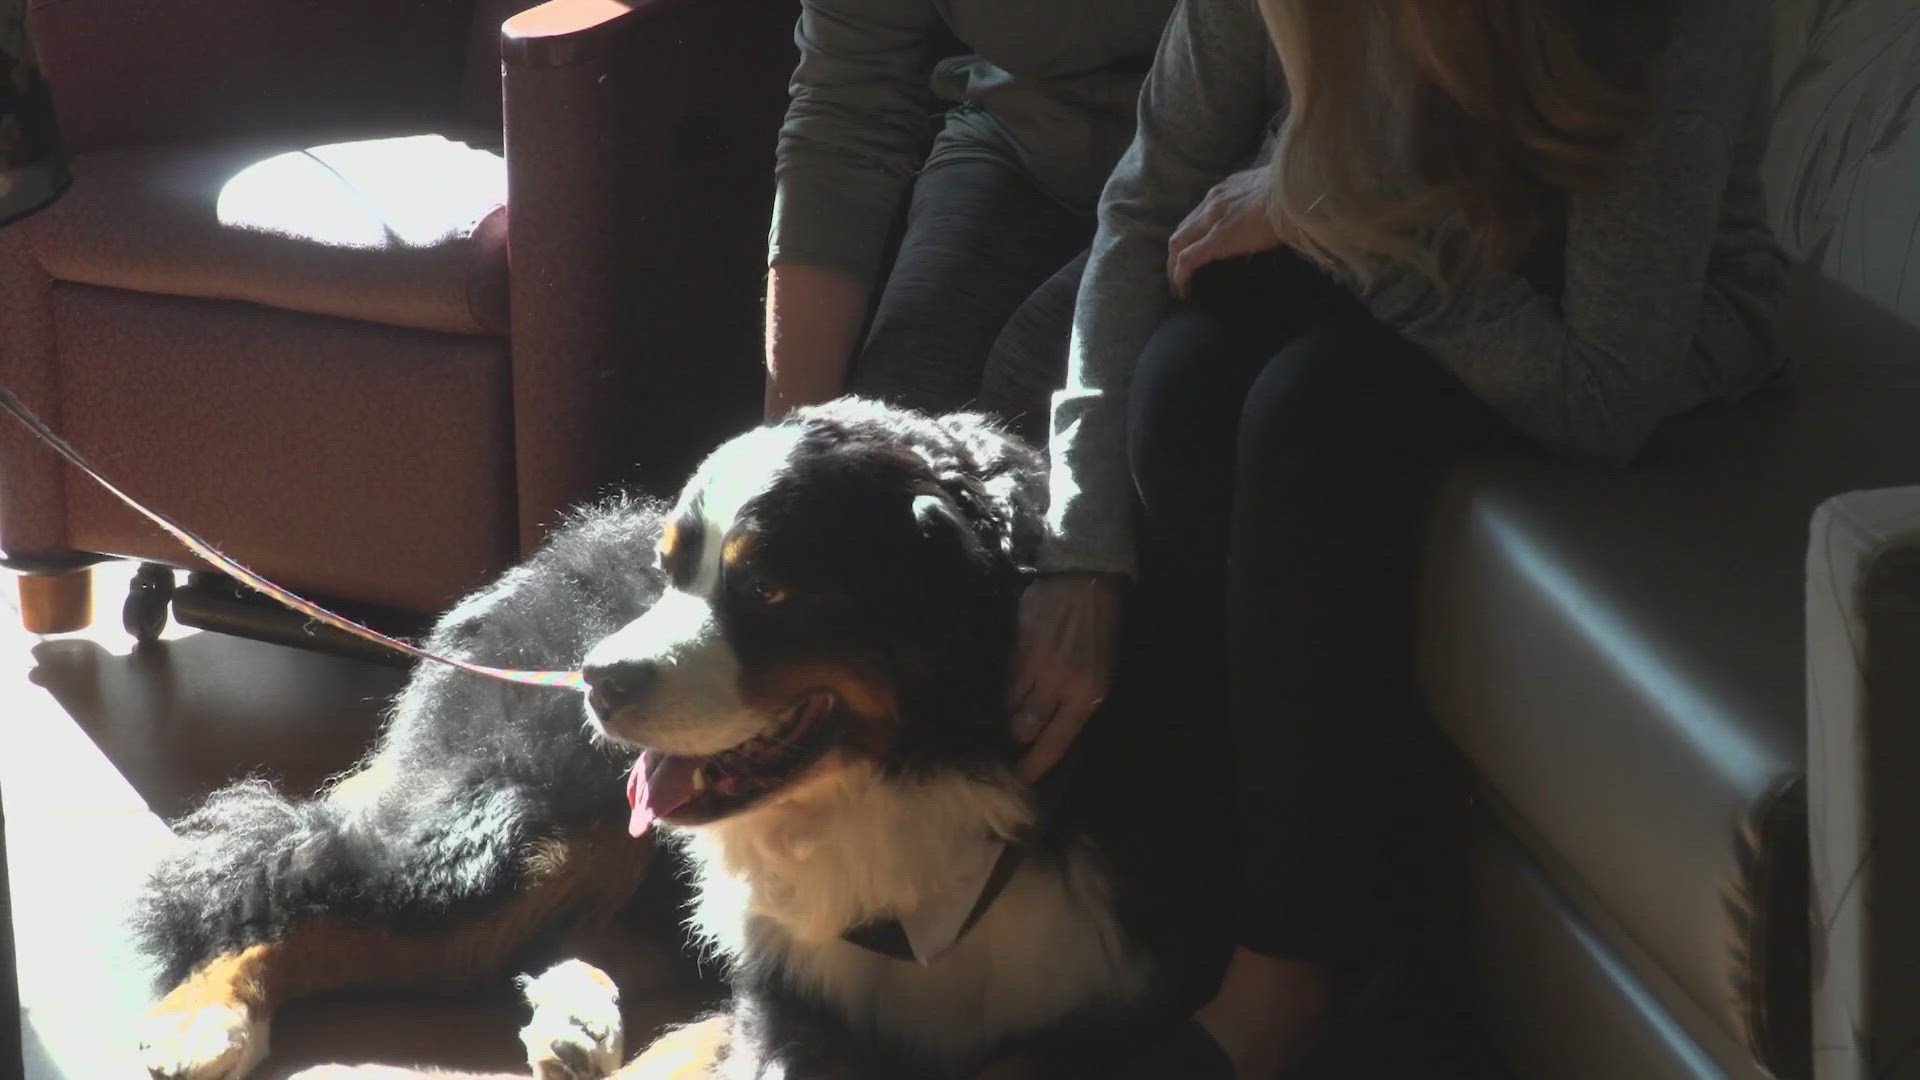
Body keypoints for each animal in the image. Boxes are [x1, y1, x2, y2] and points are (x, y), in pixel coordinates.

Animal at [139, 397, 1244, 1076]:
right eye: (674, 570)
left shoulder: (1125, 1008)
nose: (598, 677)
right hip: (513, 830)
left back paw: (576, 1014)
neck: (919, 778)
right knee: (285, 893)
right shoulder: (788, 997)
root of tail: (550, 551)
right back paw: (202, 1020)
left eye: (771, 589)